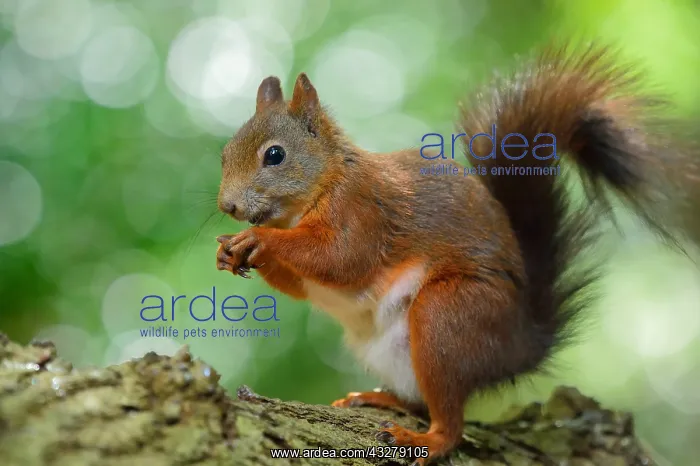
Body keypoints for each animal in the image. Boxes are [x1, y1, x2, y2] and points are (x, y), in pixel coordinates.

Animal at [214, 43, 699, 465]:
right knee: (420, 400)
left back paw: (426, 440)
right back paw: (379, 397)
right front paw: (230, 251)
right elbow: (302, 282)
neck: (324, 181)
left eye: (275, 155)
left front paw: (259, 240)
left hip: (449, 316)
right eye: (224, 153)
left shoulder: (363, 211)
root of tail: (519, 343)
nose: (228, 206)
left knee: (449, 417)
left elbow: (344, 259)